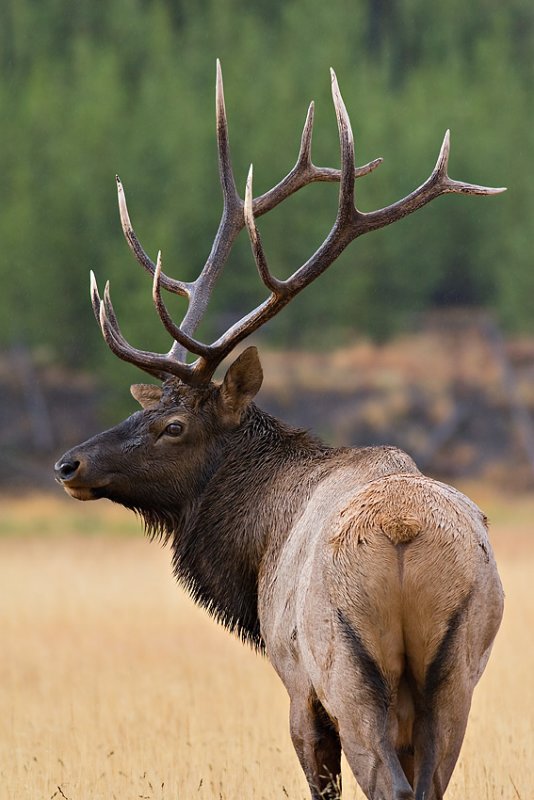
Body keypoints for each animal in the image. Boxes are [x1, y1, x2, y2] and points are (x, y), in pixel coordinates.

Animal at [54, 64, 506, 800]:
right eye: (146, 410)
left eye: (173, 425)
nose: (68, 464)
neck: (255, 544)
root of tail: (403, 533)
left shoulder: (297, 685)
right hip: (455, 673)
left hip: (347, 668)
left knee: (386, 782)